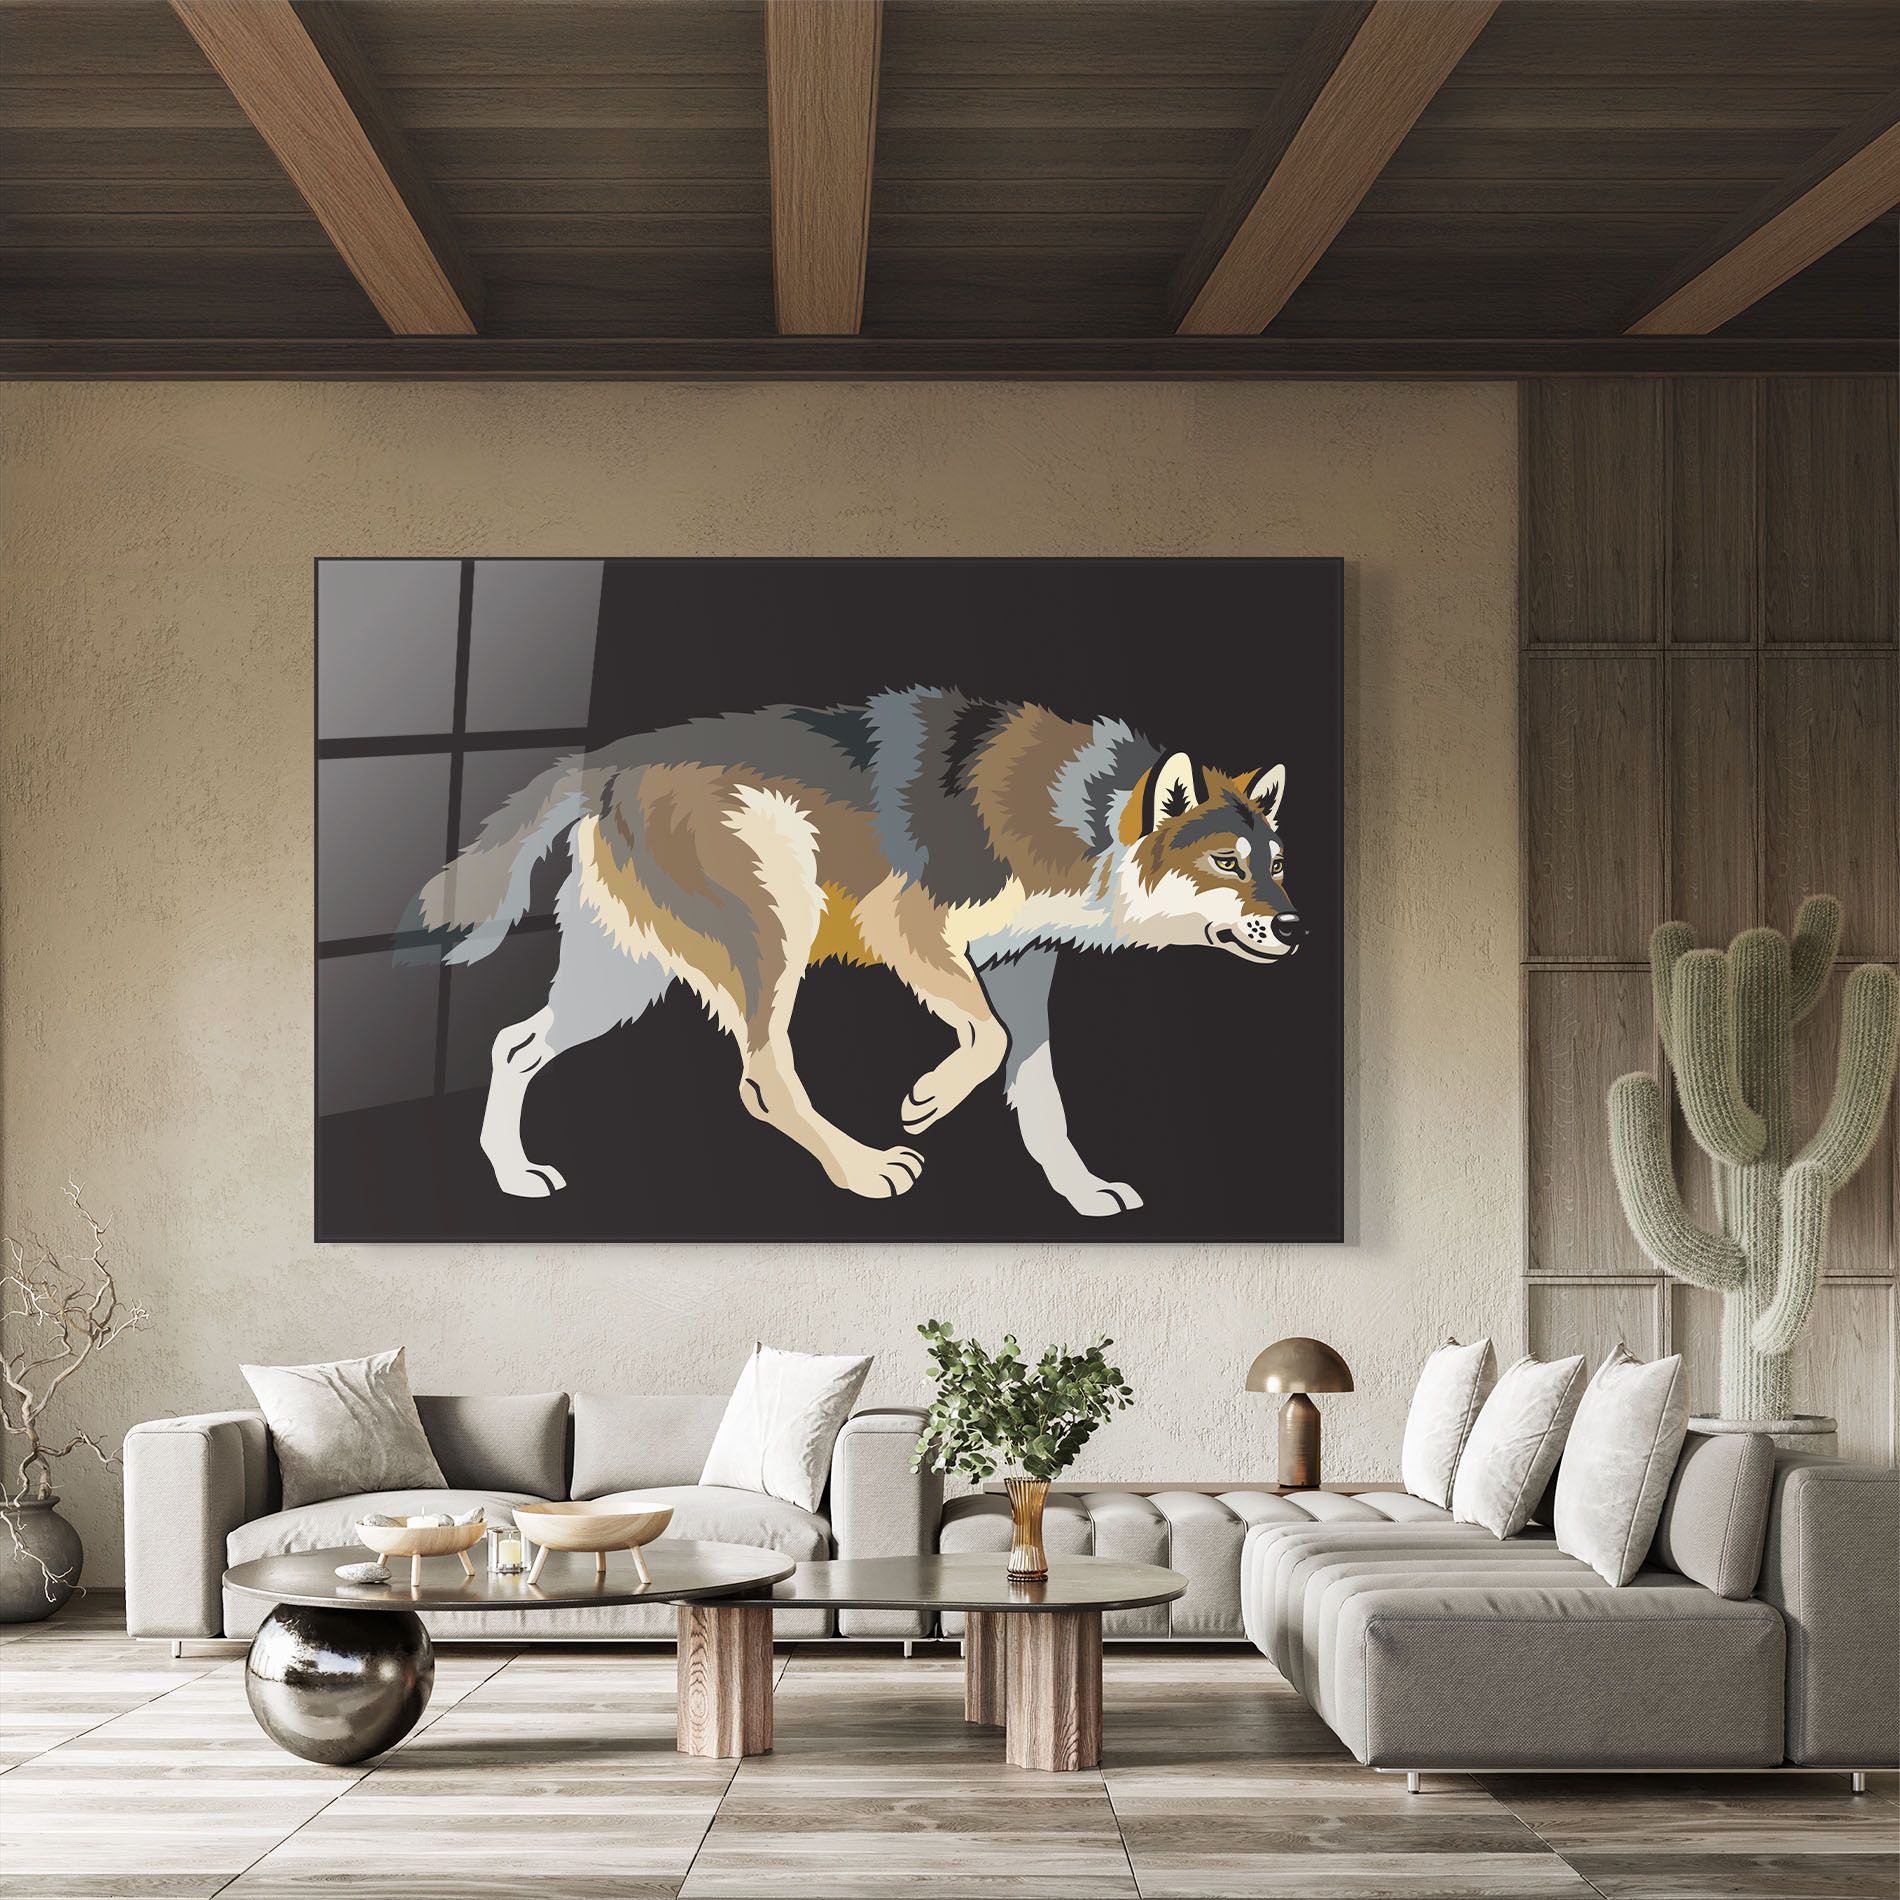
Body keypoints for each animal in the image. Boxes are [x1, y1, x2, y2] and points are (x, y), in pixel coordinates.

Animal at [412, 687, 1304, 1217]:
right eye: (1227, 865)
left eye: (1278, 865)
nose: (1298, 929)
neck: (1083, 819)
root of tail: (605, 758)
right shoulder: (907, 926)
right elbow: (987, 1041)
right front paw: (927, 1099)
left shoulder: (1021, 966)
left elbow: (1039, 1093)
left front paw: (1082, 1192)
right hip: (775, 932)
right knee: (763, 1077)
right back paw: (864, 1169)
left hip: (623, 983)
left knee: (514, 1045)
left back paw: (512, 1176)